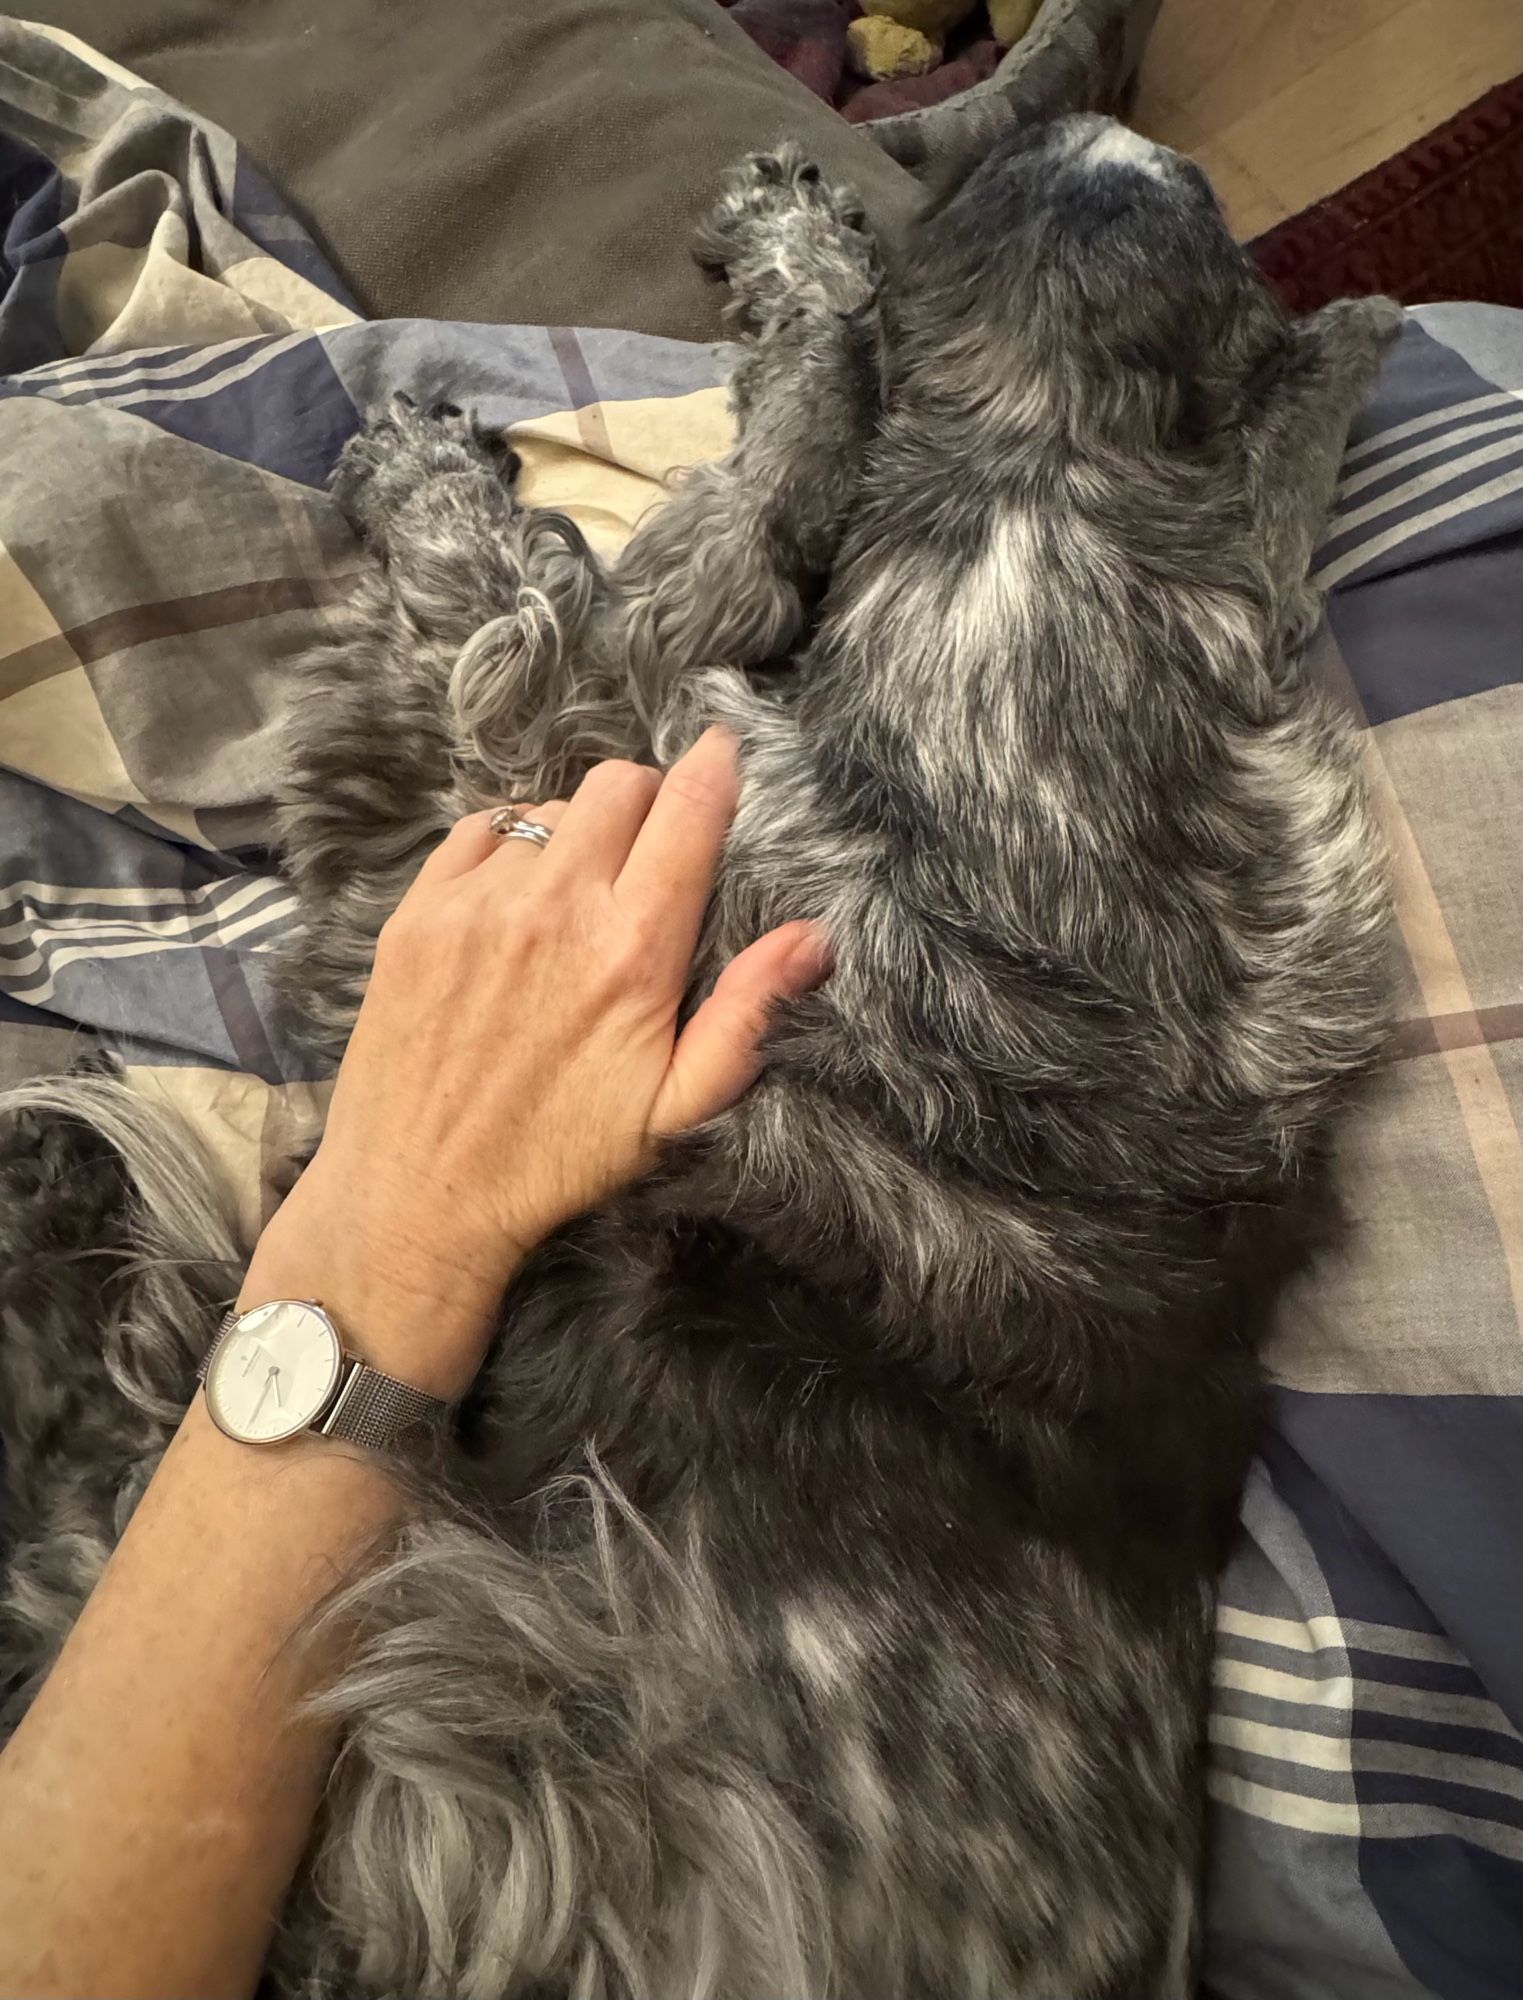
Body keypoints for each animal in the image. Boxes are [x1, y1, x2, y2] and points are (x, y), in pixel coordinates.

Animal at [0, 117, 1391, 1992]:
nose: (1060, 134)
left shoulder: (511, 815)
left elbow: (609, 563)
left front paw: (434, 472)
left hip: (473, 1700)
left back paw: (53, 1207)